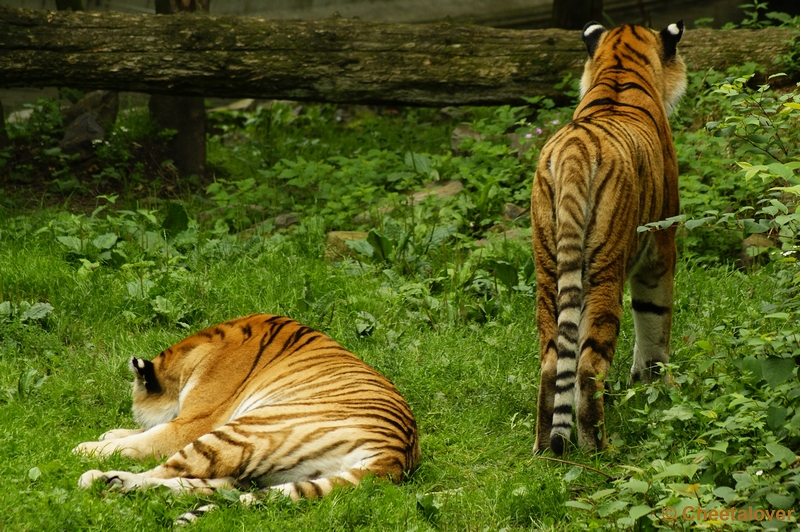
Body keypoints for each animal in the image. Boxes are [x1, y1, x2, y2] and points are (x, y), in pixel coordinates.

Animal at [75, 316, 422, 508]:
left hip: (243, 430)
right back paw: (111, 481)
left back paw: (97, 477)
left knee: (167, 472)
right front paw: (110, 434)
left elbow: (144, 440)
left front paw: (90, 447)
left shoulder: (193, 423)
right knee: (211, 485)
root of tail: (395, 456)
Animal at [536, 20, 684, 454]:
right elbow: (654, 320)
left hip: (548, 267)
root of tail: (572, 151)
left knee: (552, 363)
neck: (620, 69)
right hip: (604, 268)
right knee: (588, 367)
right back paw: (600, 449)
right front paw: (657, 387)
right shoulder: (662, 246)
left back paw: (543, 449)